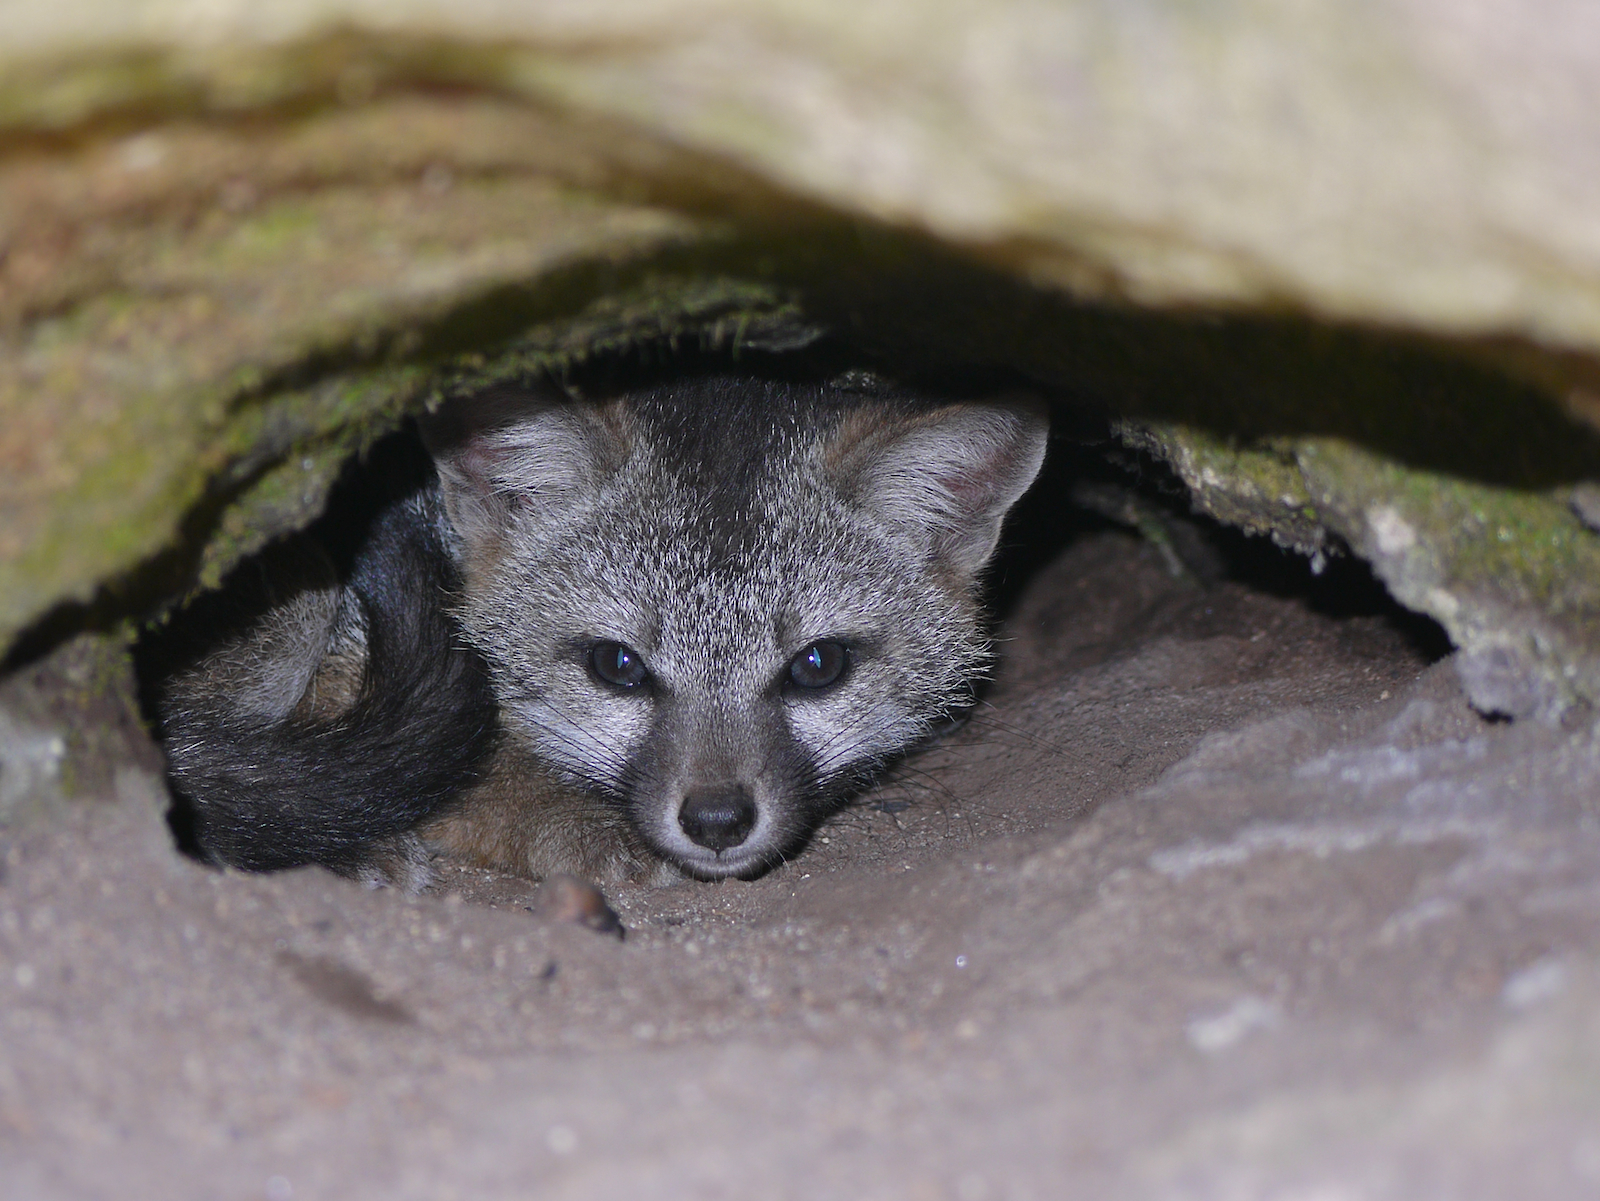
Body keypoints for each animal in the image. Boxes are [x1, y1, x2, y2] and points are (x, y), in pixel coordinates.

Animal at [146, 367, 1049, 891]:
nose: (716, 821)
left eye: (817, 665)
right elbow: (465, 767)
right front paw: (560, 817)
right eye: (618, 665)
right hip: (299, 602)